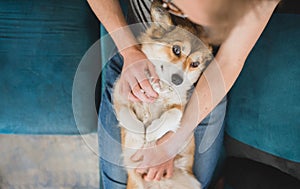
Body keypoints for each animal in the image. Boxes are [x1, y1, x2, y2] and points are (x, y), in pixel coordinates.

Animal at [112, 0, 213, 188]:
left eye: (195, 64)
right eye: (176, 50)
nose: (177, 80)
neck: (161, 87)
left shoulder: (179, 107)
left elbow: (172, 115)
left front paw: (151, 133)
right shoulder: (120, 94)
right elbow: (128, 116)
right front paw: (141, 135)